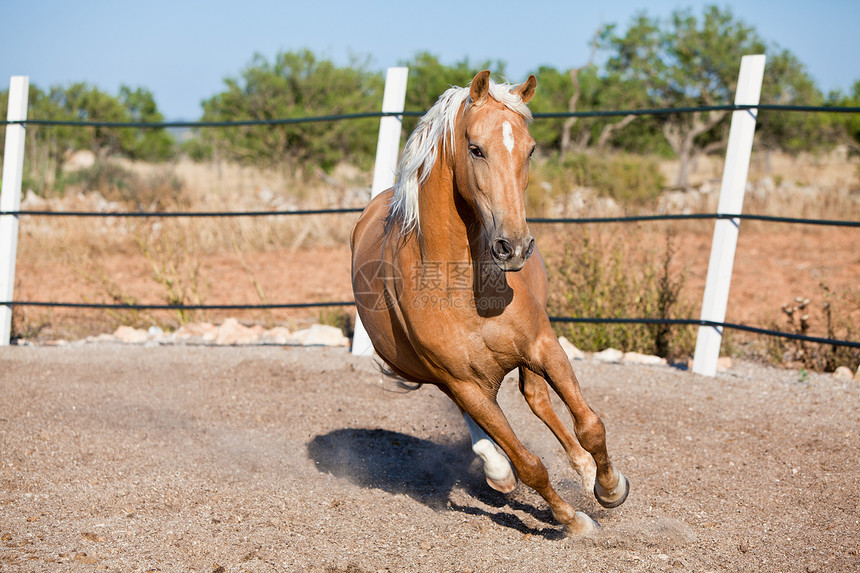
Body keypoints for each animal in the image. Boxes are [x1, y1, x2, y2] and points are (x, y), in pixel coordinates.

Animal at [352, 70, 628, 532]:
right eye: (475, 149)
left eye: (530, 149)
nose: (513, 247)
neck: (461, 285)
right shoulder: (464, 384)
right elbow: (528, 463)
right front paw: (573, 521)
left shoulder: (542, 345)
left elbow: (590, 424)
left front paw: (608, 488)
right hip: (455, 381)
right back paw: (498, 471)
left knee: (537, 399)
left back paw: (584, 470)